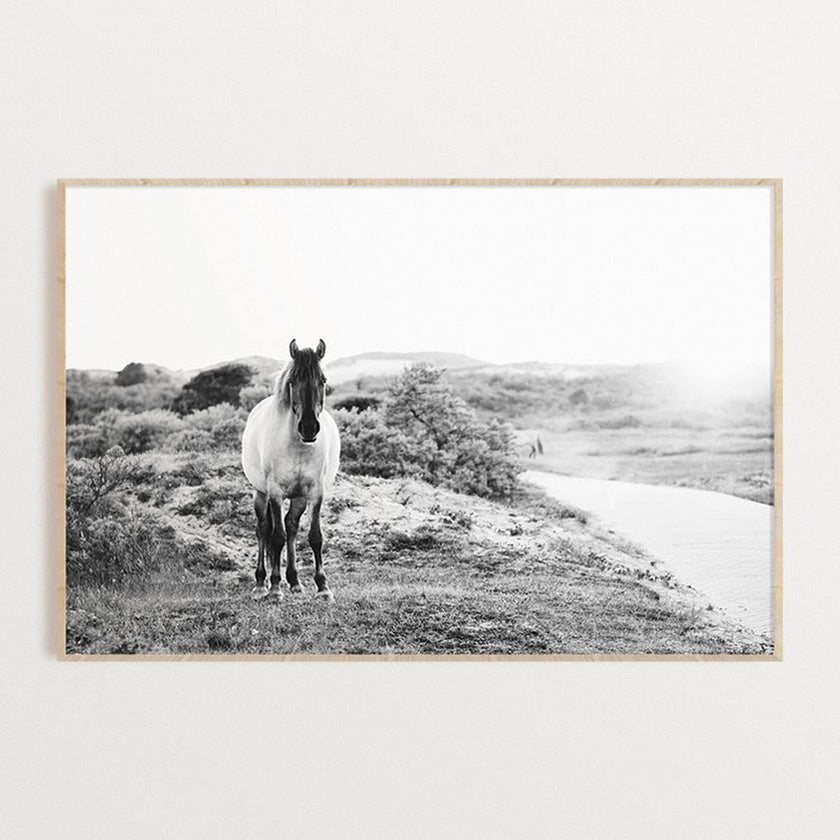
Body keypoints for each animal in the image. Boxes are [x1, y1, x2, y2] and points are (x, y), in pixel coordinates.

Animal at [241, 339, 341, 601]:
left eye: (322, 380)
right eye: (293, 381)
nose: (309, 428)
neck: (299, 447)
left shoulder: (315, 492)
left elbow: (315, 537)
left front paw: (323, 587)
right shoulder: (275, 492)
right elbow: (277, 537)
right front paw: (275, 588)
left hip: (299, 498)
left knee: (292, 526)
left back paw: (295, 581)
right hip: (260, 493)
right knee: (263, 529)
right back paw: (261, 583)